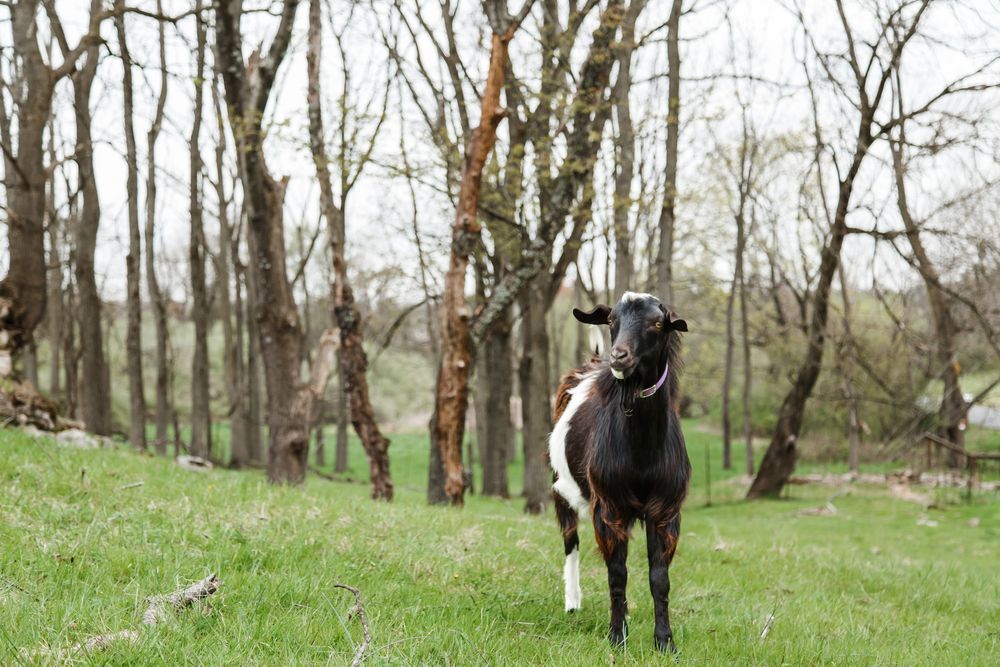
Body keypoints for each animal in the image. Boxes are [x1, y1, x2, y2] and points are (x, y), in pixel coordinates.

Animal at [549, 291, 690, 652]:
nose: (619, 356)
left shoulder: (665, 510)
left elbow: (659, 579)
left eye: (657, 323)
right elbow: (617, 573)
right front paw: (616, 637)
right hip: (560, 489)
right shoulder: (609, 506)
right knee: (570, 541)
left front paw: (665, 641)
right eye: (613, 320)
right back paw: (572, 602)